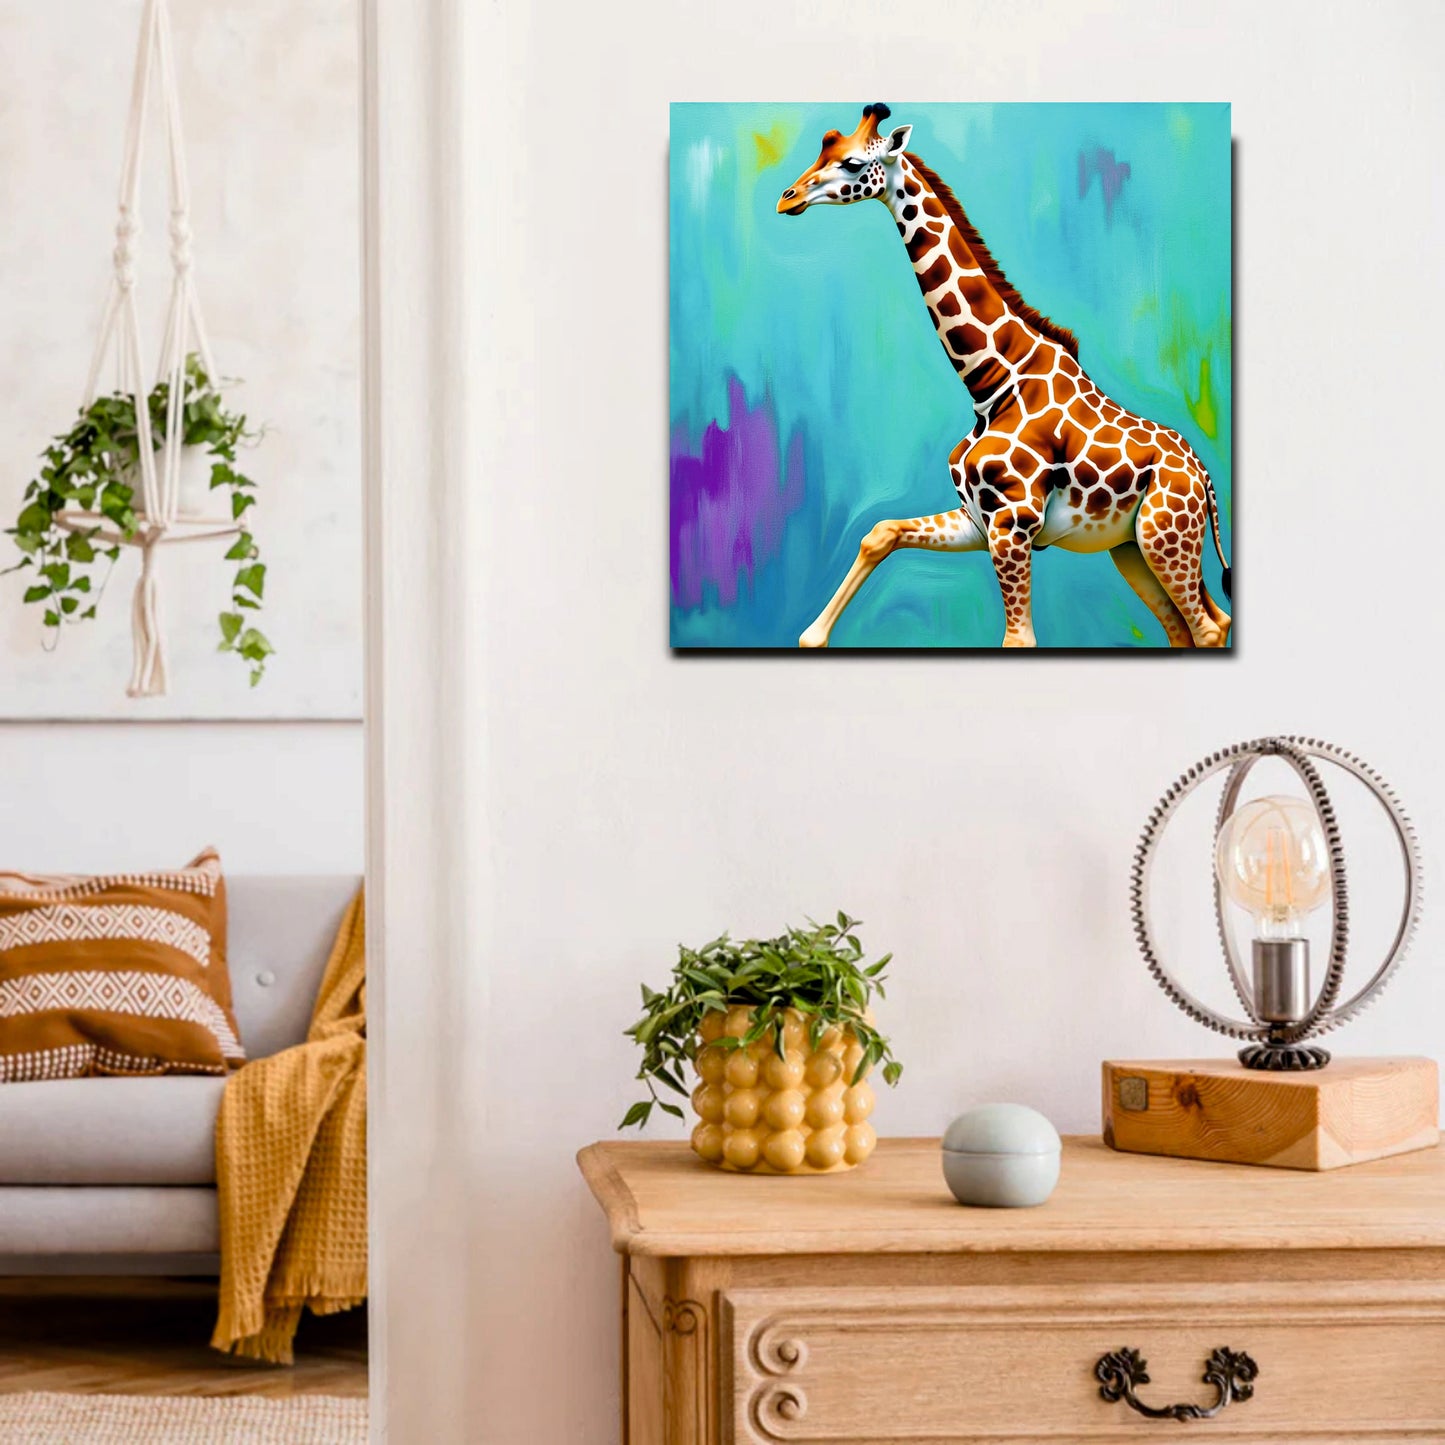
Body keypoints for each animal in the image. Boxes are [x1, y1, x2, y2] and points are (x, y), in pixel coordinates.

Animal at [777, 104, 1232, 649]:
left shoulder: (1013, 524)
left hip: (1165, 537)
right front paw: (812, 636)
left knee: (1208, 627)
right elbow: (880, 532)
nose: (787, 198)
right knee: (1189, 626)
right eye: (822, 148)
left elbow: (1019, 640)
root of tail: (1205, 478)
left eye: (850, 162)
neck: (991, 382)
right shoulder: (979, 521)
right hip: (1131, 549)